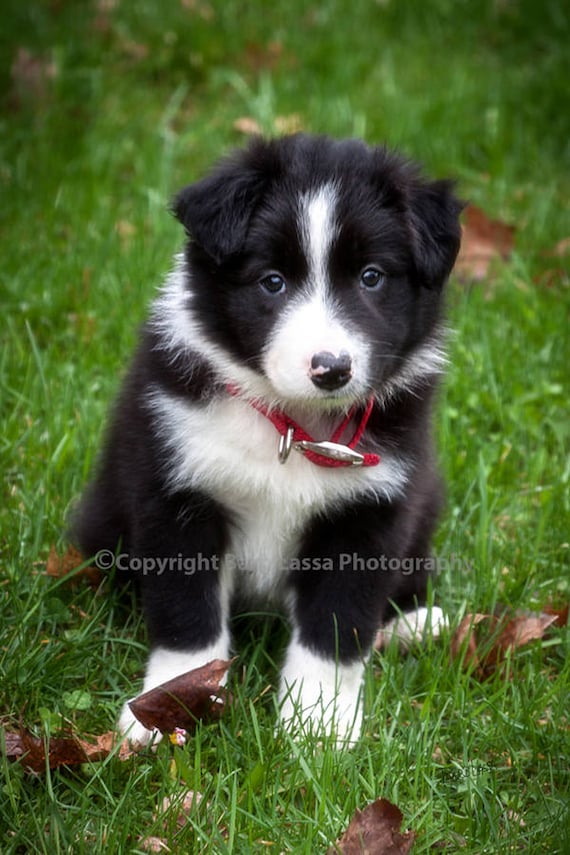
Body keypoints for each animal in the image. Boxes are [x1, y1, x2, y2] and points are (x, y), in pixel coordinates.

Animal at [74, 132, 462, 744]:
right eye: (272, 282)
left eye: (371, 277)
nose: (332, 369)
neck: (292, 426)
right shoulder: (176, 491)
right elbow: (186, 618)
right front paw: (167, 711)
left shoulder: (371, 509)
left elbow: (337, 625)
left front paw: (318, 726)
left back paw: (414, 624)